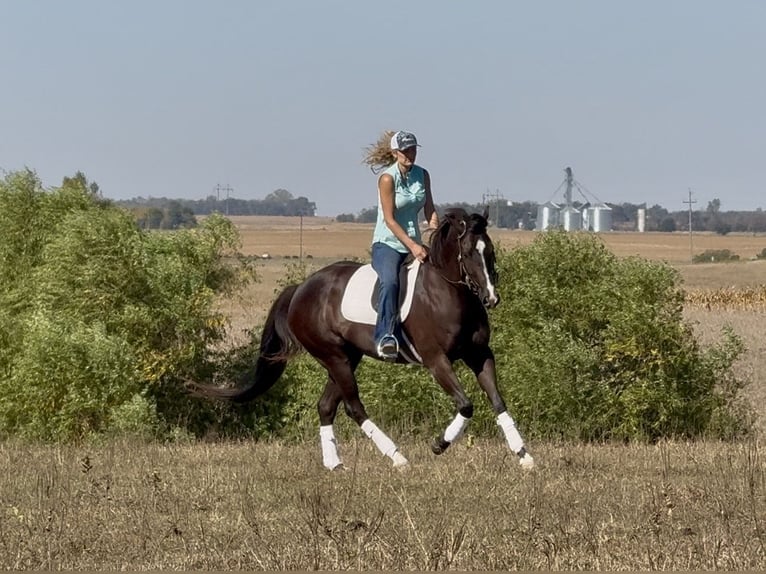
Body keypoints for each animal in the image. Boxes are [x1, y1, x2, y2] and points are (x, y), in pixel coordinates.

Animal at [192, 207, 534, 470]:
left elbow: (497, 400)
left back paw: (334, 464)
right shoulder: (436, 361)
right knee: (353, 407)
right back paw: (397, 457)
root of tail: (301, 288)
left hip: (346, 357)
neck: (450, 293)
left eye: (490, 251)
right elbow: (466, 404)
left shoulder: (480, 354)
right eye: (468, 252)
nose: (491, 298)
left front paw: (524, 455)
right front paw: (440, 444)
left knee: (326, 406)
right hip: (334, 357)